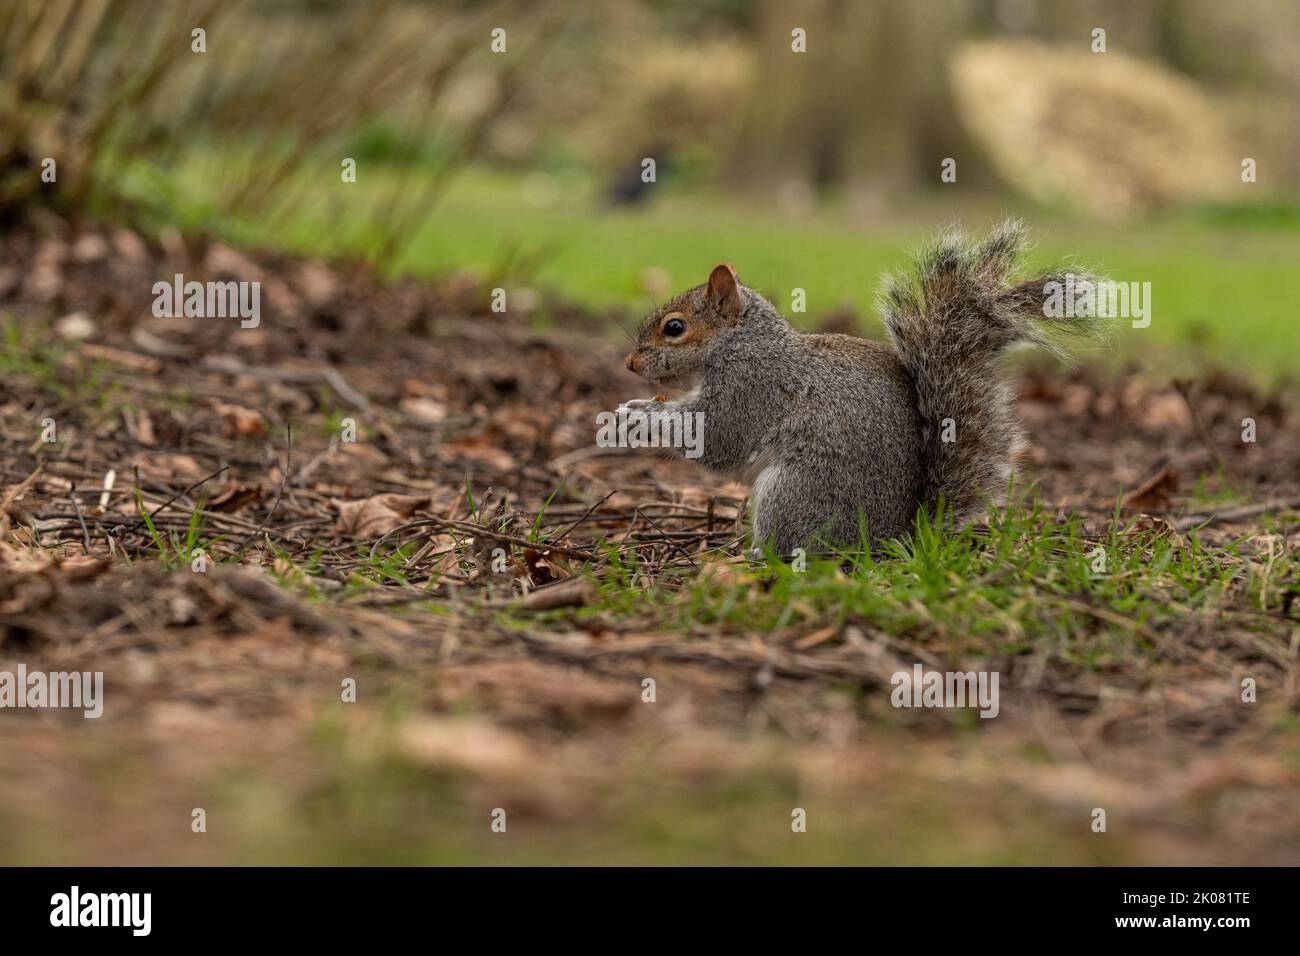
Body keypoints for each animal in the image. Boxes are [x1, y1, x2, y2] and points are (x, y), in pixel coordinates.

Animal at [618, 217, 1107, 556]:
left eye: (674, 328)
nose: (630, 362)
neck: (742, 343)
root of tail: (896, 537)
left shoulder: (754, 387)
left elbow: (717, 437)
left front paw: (641, 416)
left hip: (794, 493)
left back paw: (757, 554)